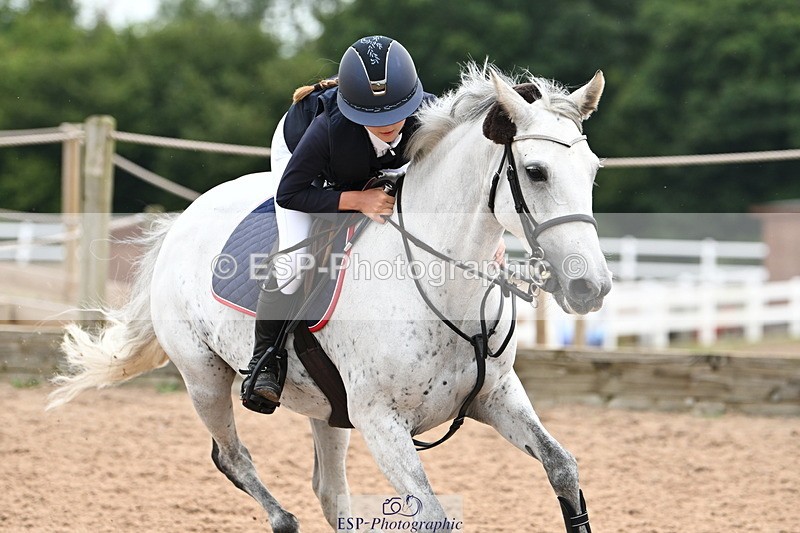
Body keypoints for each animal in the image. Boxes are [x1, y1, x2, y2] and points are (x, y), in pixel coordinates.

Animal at [47, 62, 611, 533]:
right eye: (535, 172)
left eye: (593, 169)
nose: (592, 287)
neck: (442, 288)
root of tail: (182, 219)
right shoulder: (382, 424)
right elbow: (435, 516)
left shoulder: (497, 397)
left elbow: (562, 467)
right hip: (203, 375)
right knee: (232, 456)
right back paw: (281, 518)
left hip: (327, 409)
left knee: (330, 492)